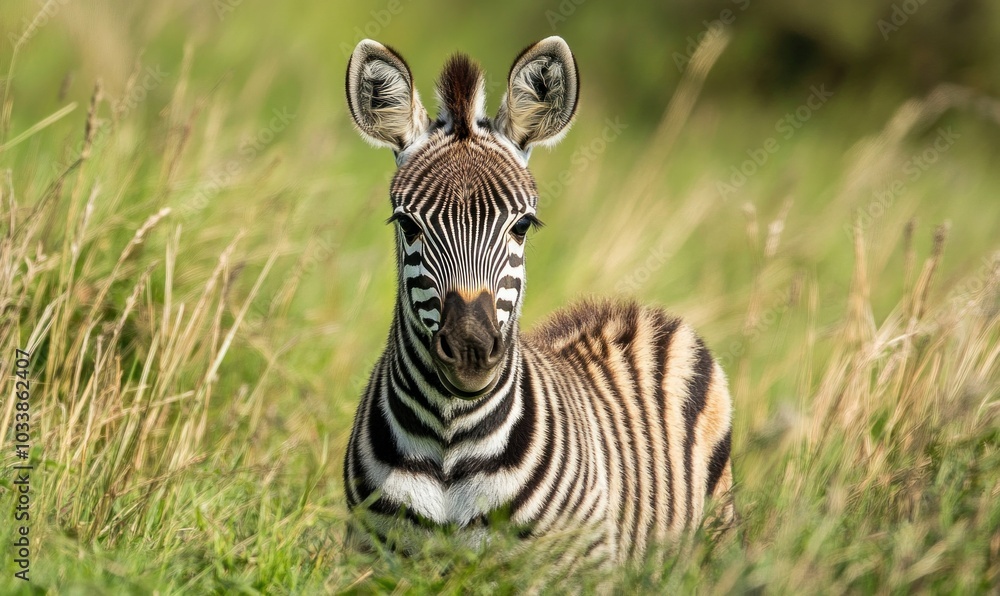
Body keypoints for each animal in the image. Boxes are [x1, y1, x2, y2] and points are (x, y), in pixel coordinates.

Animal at [343, 36, 735, 567]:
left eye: (522, 225)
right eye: (407, 224)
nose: (469, 349)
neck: (449, 443)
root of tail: (637, 315)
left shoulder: (576, 564)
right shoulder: (372, 560)